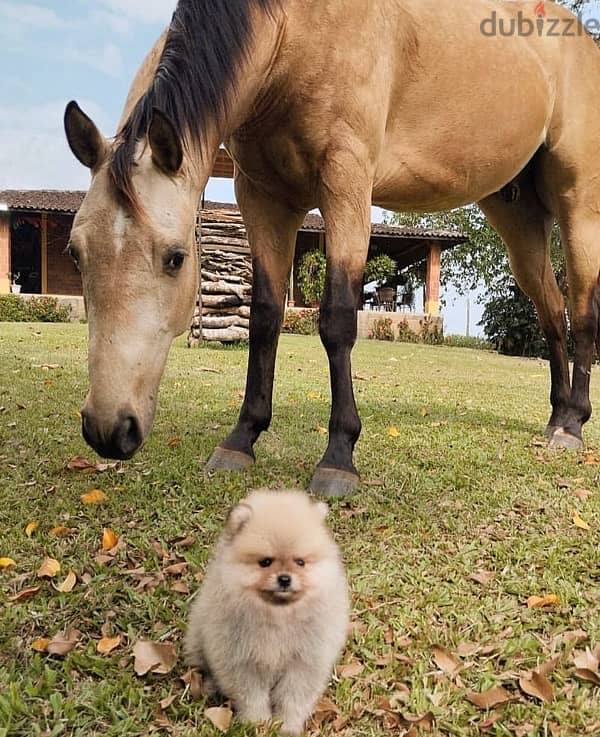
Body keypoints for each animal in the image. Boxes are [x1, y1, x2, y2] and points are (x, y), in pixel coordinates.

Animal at [64, 0, 600, 498]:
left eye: (175, 258)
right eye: (76, 254)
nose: (109, 430)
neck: (292, 32)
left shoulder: (345, 182)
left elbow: (338, 320)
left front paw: (339, 455)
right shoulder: (263, 197)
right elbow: (264, 318)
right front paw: (242, 438)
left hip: (578, 205)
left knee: (580, 311)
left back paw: (573, 426)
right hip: (518, 215)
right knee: (551, 312)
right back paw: (557, 417)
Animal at [185, 488, 350, 736]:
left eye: (300, 562)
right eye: (265, 562)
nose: (284, 578)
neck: (278, 616)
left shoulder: (303, 662)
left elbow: (292, 699)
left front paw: (288, 726)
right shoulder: (241, 660)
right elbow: (252, 697)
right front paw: (258, 724)